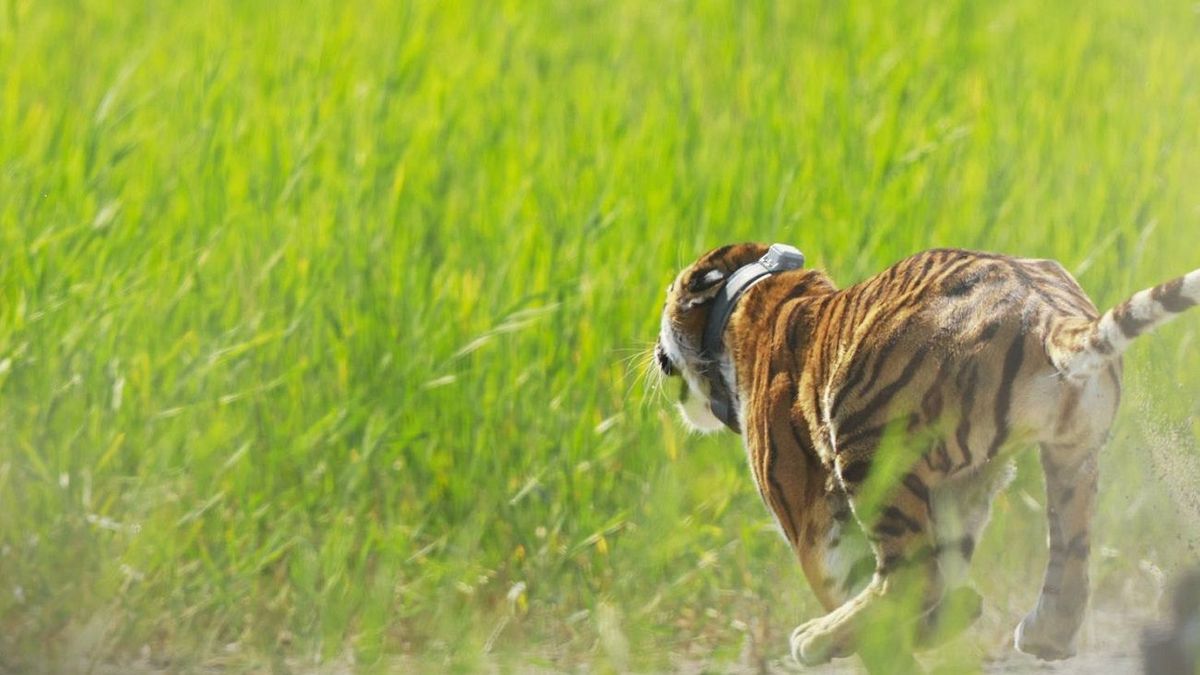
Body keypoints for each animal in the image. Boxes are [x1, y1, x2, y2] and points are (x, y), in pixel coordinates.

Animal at [653, 243, 1200, 667]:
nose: (655, 352)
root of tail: (1049, 313)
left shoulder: (808, 516)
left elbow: (847, 580)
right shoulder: (961, 488)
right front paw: (950, 621)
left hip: (868, 445)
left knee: (911, 576)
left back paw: (815, 640)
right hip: (1071, 456)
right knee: (1068, 562)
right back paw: (1042, 634)